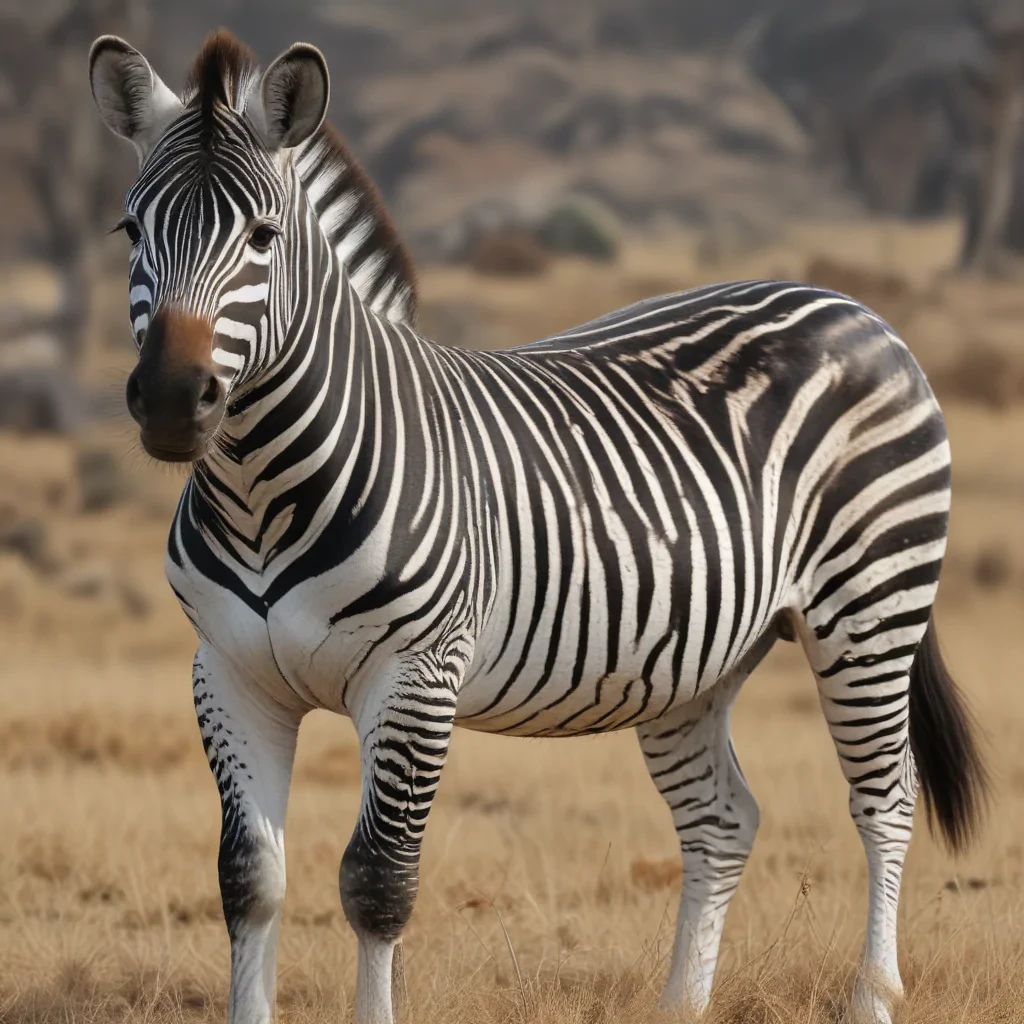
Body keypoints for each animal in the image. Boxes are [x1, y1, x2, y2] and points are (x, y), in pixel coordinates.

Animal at [89, 30, 988, 1024]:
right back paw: (679, 1006)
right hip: (694, 663)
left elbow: (377, 884)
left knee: (886, 800)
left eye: (263, 237)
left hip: (869, 608)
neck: (260, 495)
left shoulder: (416, 677)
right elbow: (249, 881)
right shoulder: (229, 676)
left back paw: (871, 994)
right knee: (722, 819)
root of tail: (851, 307)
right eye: (131, 232)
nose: (175, 400)